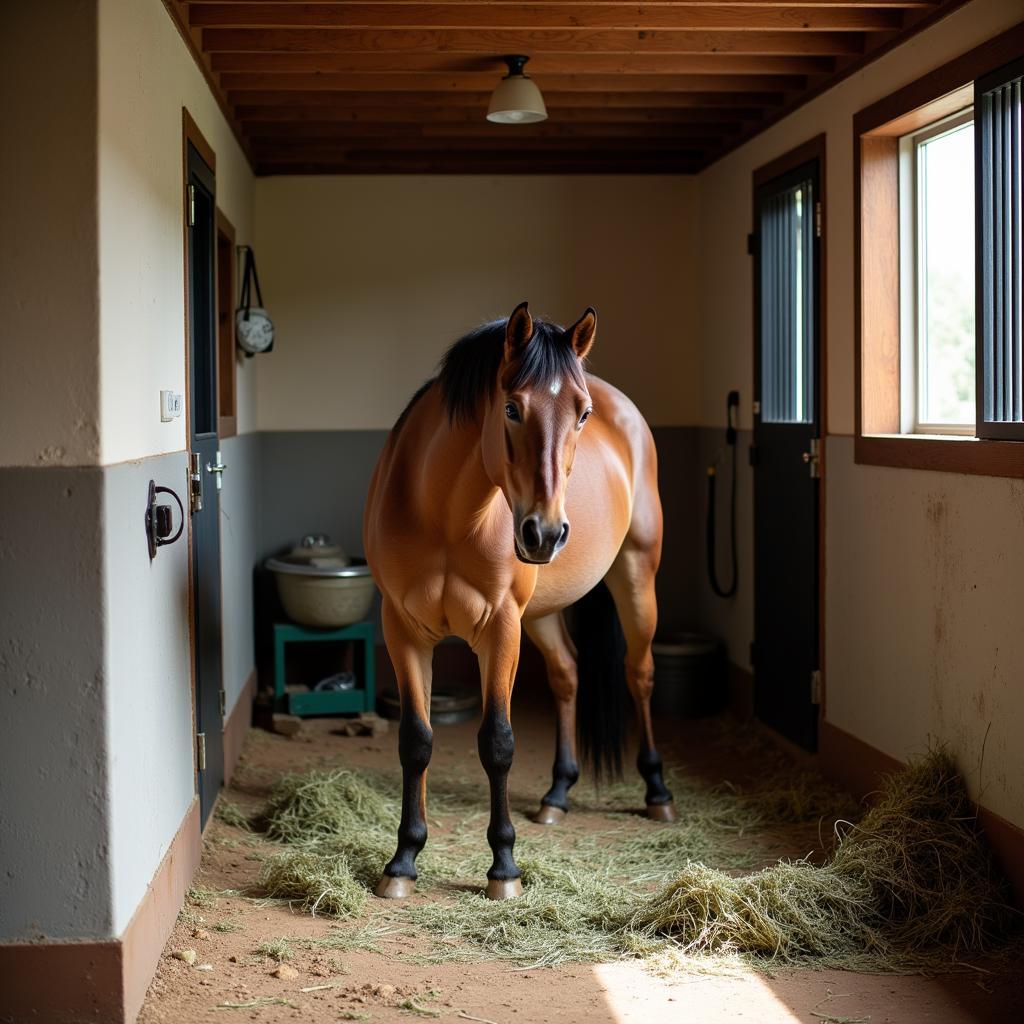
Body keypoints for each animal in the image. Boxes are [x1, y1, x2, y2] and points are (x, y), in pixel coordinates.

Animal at [364, 299, 675, 901]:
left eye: (581, 414)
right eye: (511, 407)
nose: (546, 534)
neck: (448, 517)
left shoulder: (500, 628)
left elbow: (498, 743)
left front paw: (504, 867)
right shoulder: (404, 630)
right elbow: (416, 740)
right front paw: (404, 859)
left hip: (635, 578)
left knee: (641, 673)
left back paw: (657, 792)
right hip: (544, 614)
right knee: (567, 674)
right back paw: (558, 794)